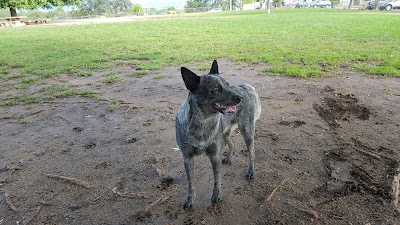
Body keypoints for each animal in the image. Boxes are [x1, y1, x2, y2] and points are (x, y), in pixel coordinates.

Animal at [176, 59, 262, 209]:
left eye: (227, 85)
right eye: (215, 89)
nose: (239, 98)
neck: (202, 122)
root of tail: (244, 88)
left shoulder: (215, 155)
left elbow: (217, 179)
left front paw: (216, 196)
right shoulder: (187, 158)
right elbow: (190, 183)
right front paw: (189, 200)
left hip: (247, 131)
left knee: (252, 152)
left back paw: (250, 171)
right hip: (225, 133)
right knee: (232, 143)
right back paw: (229, 157)